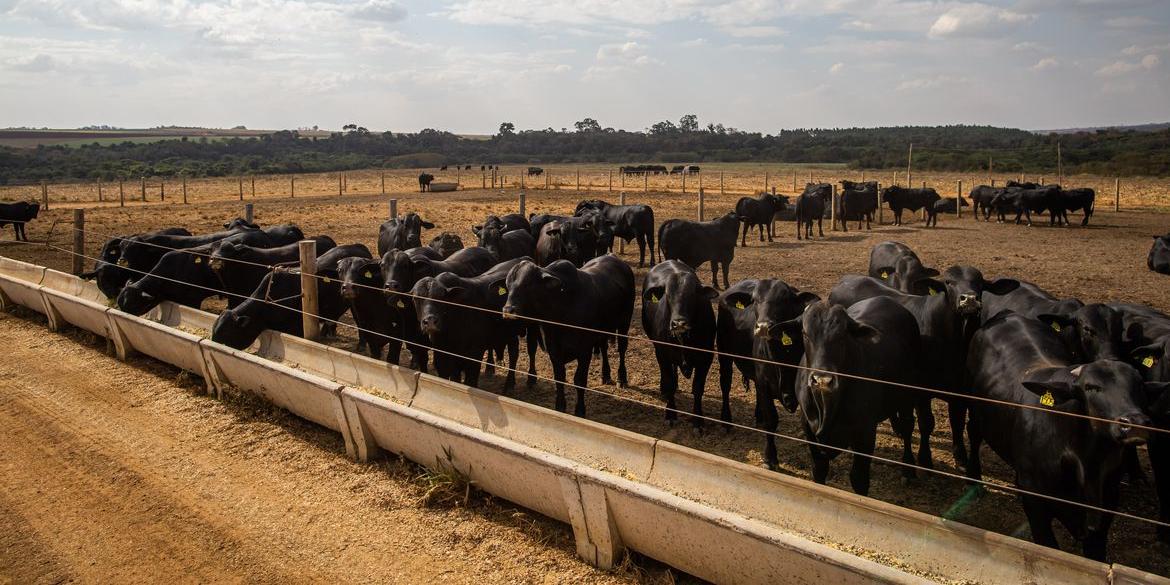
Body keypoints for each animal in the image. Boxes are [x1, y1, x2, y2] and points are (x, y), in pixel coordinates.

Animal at [500, 256, 636, 416]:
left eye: (527, 284)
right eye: (508, 286)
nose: (508, 310)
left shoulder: (584, 351)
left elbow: (580, 381)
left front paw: (580, 410)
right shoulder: (554, 351)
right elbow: (559, 378)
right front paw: (560, 407)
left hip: (624, 322)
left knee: (622, 348)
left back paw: (622, 378)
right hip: (603, 330)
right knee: (603, 347)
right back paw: (606, 374)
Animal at [645, 263, 716, 428]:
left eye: (693, 294)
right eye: (667, 294)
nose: (679, 324)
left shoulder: (706, 357)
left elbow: (698, 388)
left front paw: (698, 420)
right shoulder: (662, 353)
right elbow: (669, 382)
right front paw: (670, 413)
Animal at [716, 277, 819, 465]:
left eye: (784, 300)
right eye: (755, 300)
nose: (763, 326)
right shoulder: (764, 384)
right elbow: (771, 420)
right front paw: (770, 457)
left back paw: (758, 416)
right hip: (724, 351)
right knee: (725, 383)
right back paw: (726, 420)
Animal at [776, 297, 921, 493]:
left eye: (842, 335)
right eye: (805, 333)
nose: (822, 380)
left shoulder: (865, 434)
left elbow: (859, 479)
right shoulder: (809, 429)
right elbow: (819, 470)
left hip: (908, 395)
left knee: (907, 427)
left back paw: (908, 469)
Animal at [964, 313, 1155, 559]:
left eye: (1139, 386)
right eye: (1091, 387)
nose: (1135, 422)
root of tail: (1007, 315)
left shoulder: (1108, 505)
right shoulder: (1036, 505)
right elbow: (1047, 545)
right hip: (975, 410)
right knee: (973, 433)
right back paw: (974, 479)